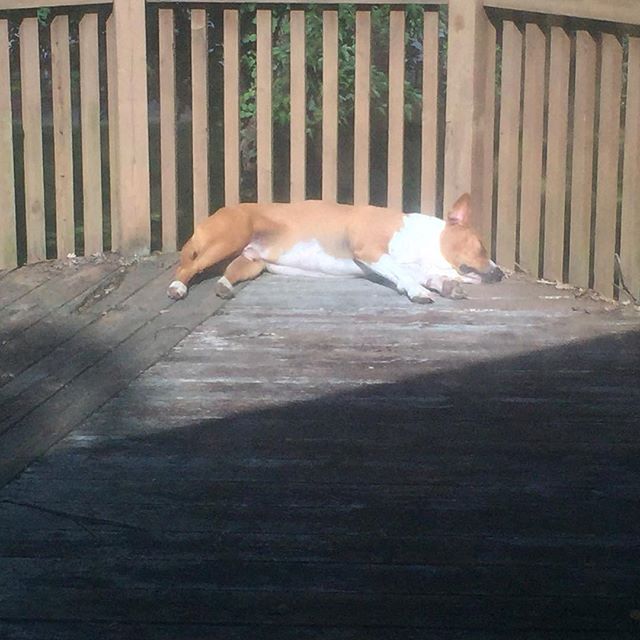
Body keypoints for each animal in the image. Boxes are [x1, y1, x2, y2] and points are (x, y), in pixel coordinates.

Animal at [168, 194, 502, 304]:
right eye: (481, 247)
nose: (500, 273)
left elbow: (419, 274)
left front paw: (446, 286)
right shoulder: (370, 251)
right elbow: (403, 273)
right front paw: (419, 292)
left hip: (251, 261)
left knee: (229, 271)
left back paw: (224, 287)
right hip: (228, 239)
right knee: (187, 266)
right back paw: (177, 288)